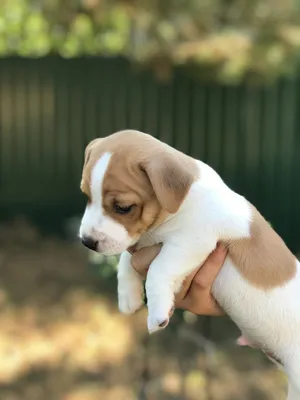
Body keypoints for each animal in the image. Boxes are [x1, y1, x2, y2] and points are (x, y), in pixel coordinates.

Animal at [79, 130, 300, 398]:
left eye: (123, 208)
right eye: (86, 196)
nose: (87, 241)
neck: (181, 204)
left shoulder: (191, 242)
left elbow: (158, 270)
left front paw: (157, 313)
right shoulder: (143, 241)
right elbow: (126, 259)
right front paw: (127, 296)